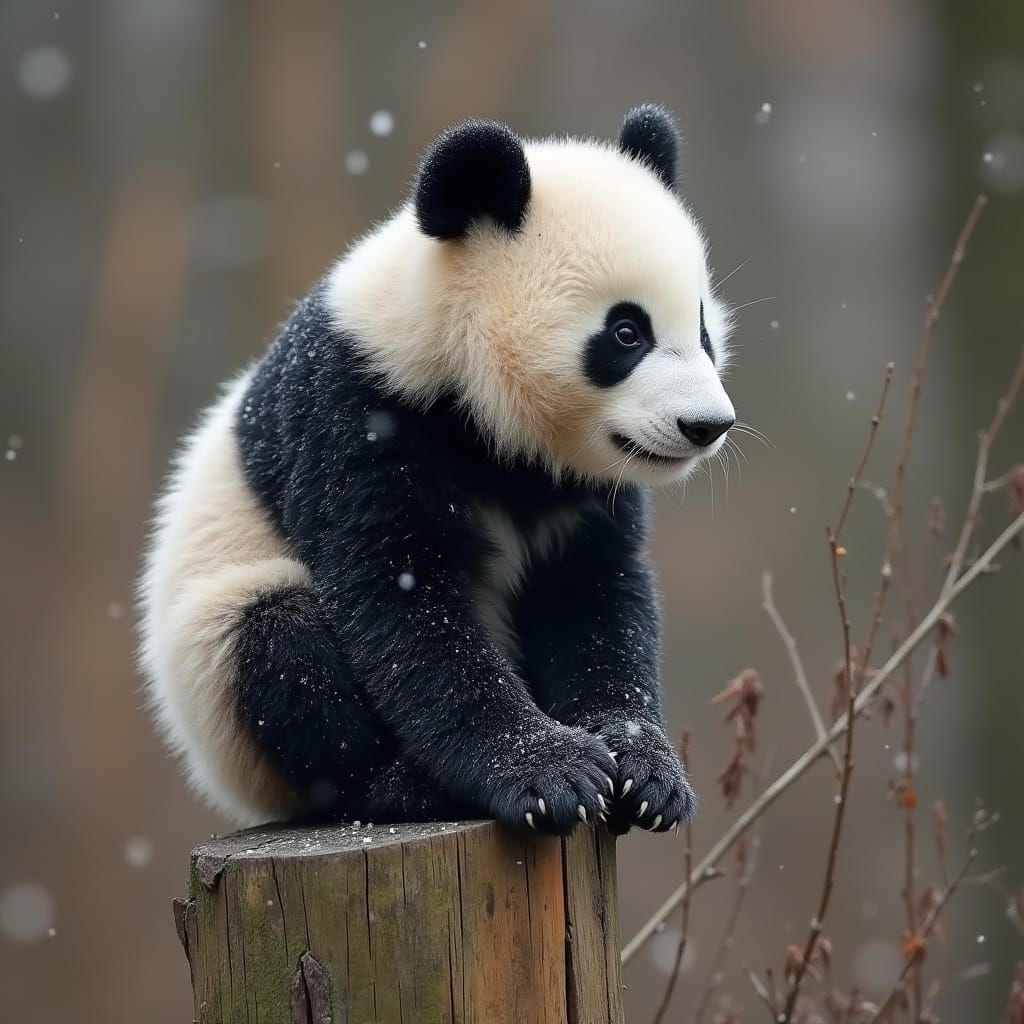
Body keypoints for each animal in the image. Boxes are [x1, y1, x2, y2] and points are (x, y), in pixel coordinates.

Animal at [138, 104, 736, 837]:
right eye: (627, 333)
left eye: (704, 330)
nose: (706, 425)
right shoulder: (359, 411)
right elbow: (404, 598)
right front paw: (550, 772)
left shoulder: (582, 487)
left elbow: (595, 596)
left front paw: (644, 772)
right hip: (215, 682)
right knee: (278, 648)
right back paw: (404, 786)